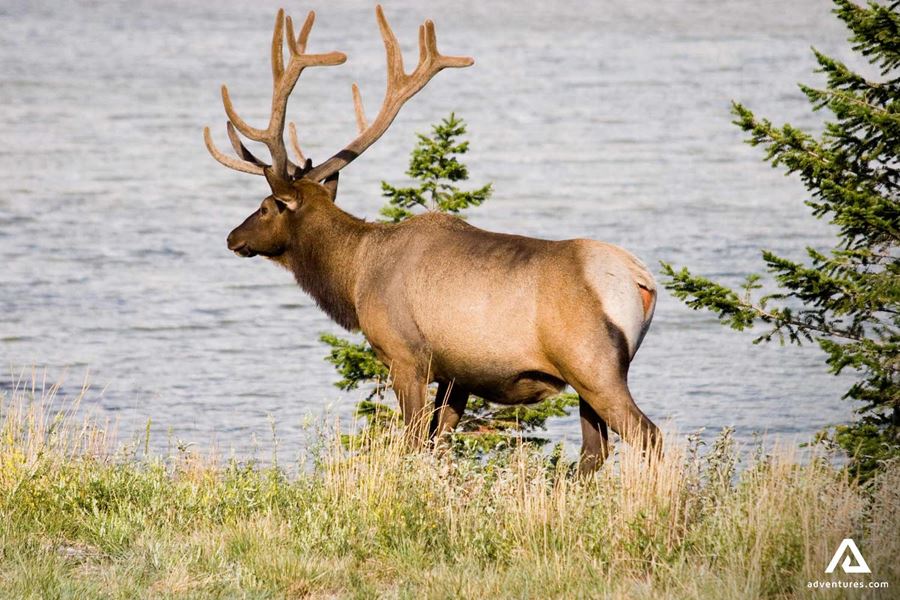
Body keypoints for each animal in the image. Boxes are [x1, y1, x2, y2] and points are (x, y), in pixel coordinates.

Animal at [204, 5, 661, 474]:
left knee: (648, 435)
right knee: (595, 450)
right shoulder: (456, 373)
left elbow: (410, 443)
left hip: (592, 365)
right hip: (595, 375)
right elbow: (437, 443)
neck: (355, 277)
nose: (232, 237)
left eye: (265, 207)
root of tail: (642, 281)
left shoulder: (406, 356)